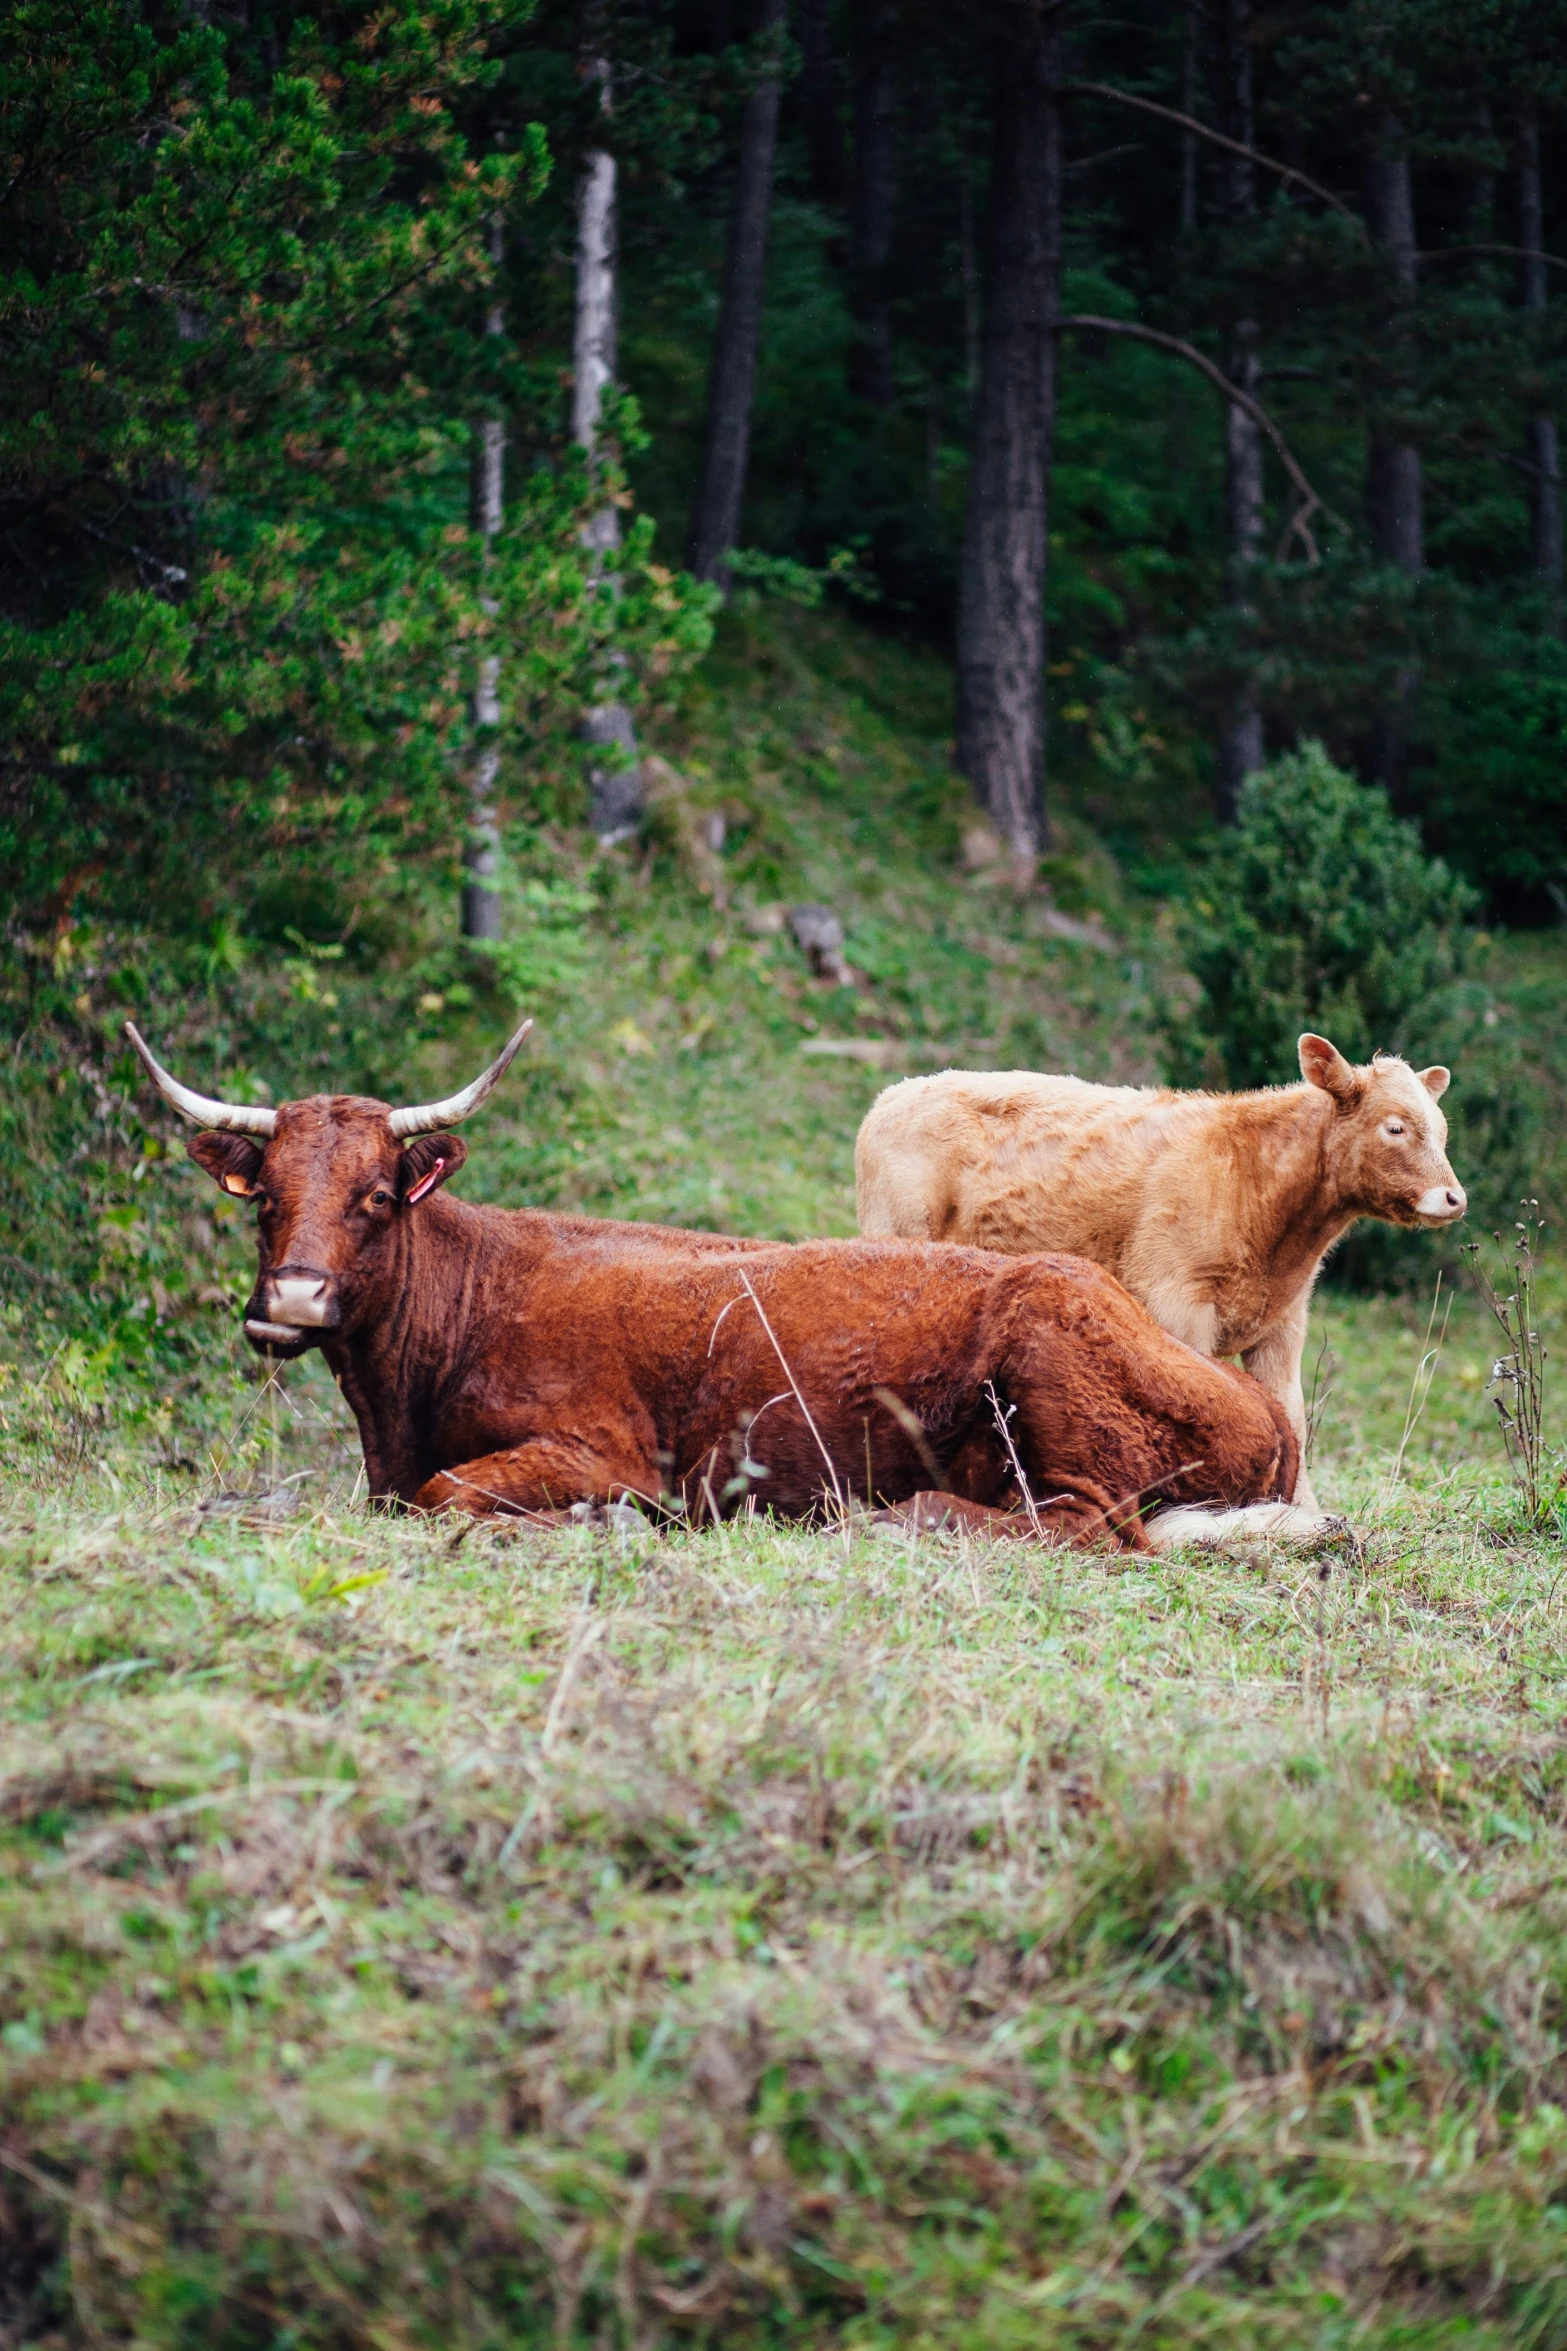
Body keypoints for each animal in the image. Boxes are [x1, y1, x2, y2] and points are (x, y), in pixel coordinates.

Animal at [125, 1020, 1296, 1551]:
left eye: (375, 1194)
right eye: (264, 1196)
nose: (295, 1299)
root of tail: (1269, 1410)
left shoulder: (599, 1449)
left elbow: (446, 1493)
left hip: (1053, 1372)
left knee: (1085, 1522)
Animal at [850, 1034, 1465, 1514]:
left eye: (1442, 1129)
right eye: (1395, 1128)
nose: (1455, 1198)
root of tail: (895, 1093)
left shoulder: (1283, 1325)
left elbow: (1290, 1415)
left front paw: (1307, 1513)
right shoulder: (1175, 1301)